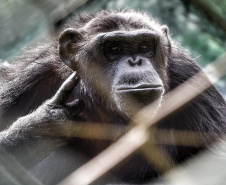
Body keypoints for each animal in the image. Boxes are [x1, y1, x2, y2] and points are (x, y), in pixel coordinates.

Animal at [0, 8, 226, 185]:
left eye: (145, 46)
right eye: (114, 48)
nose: (135, 61)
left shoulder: (190, 79)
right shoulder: (30, 76)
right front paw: (45, 125)